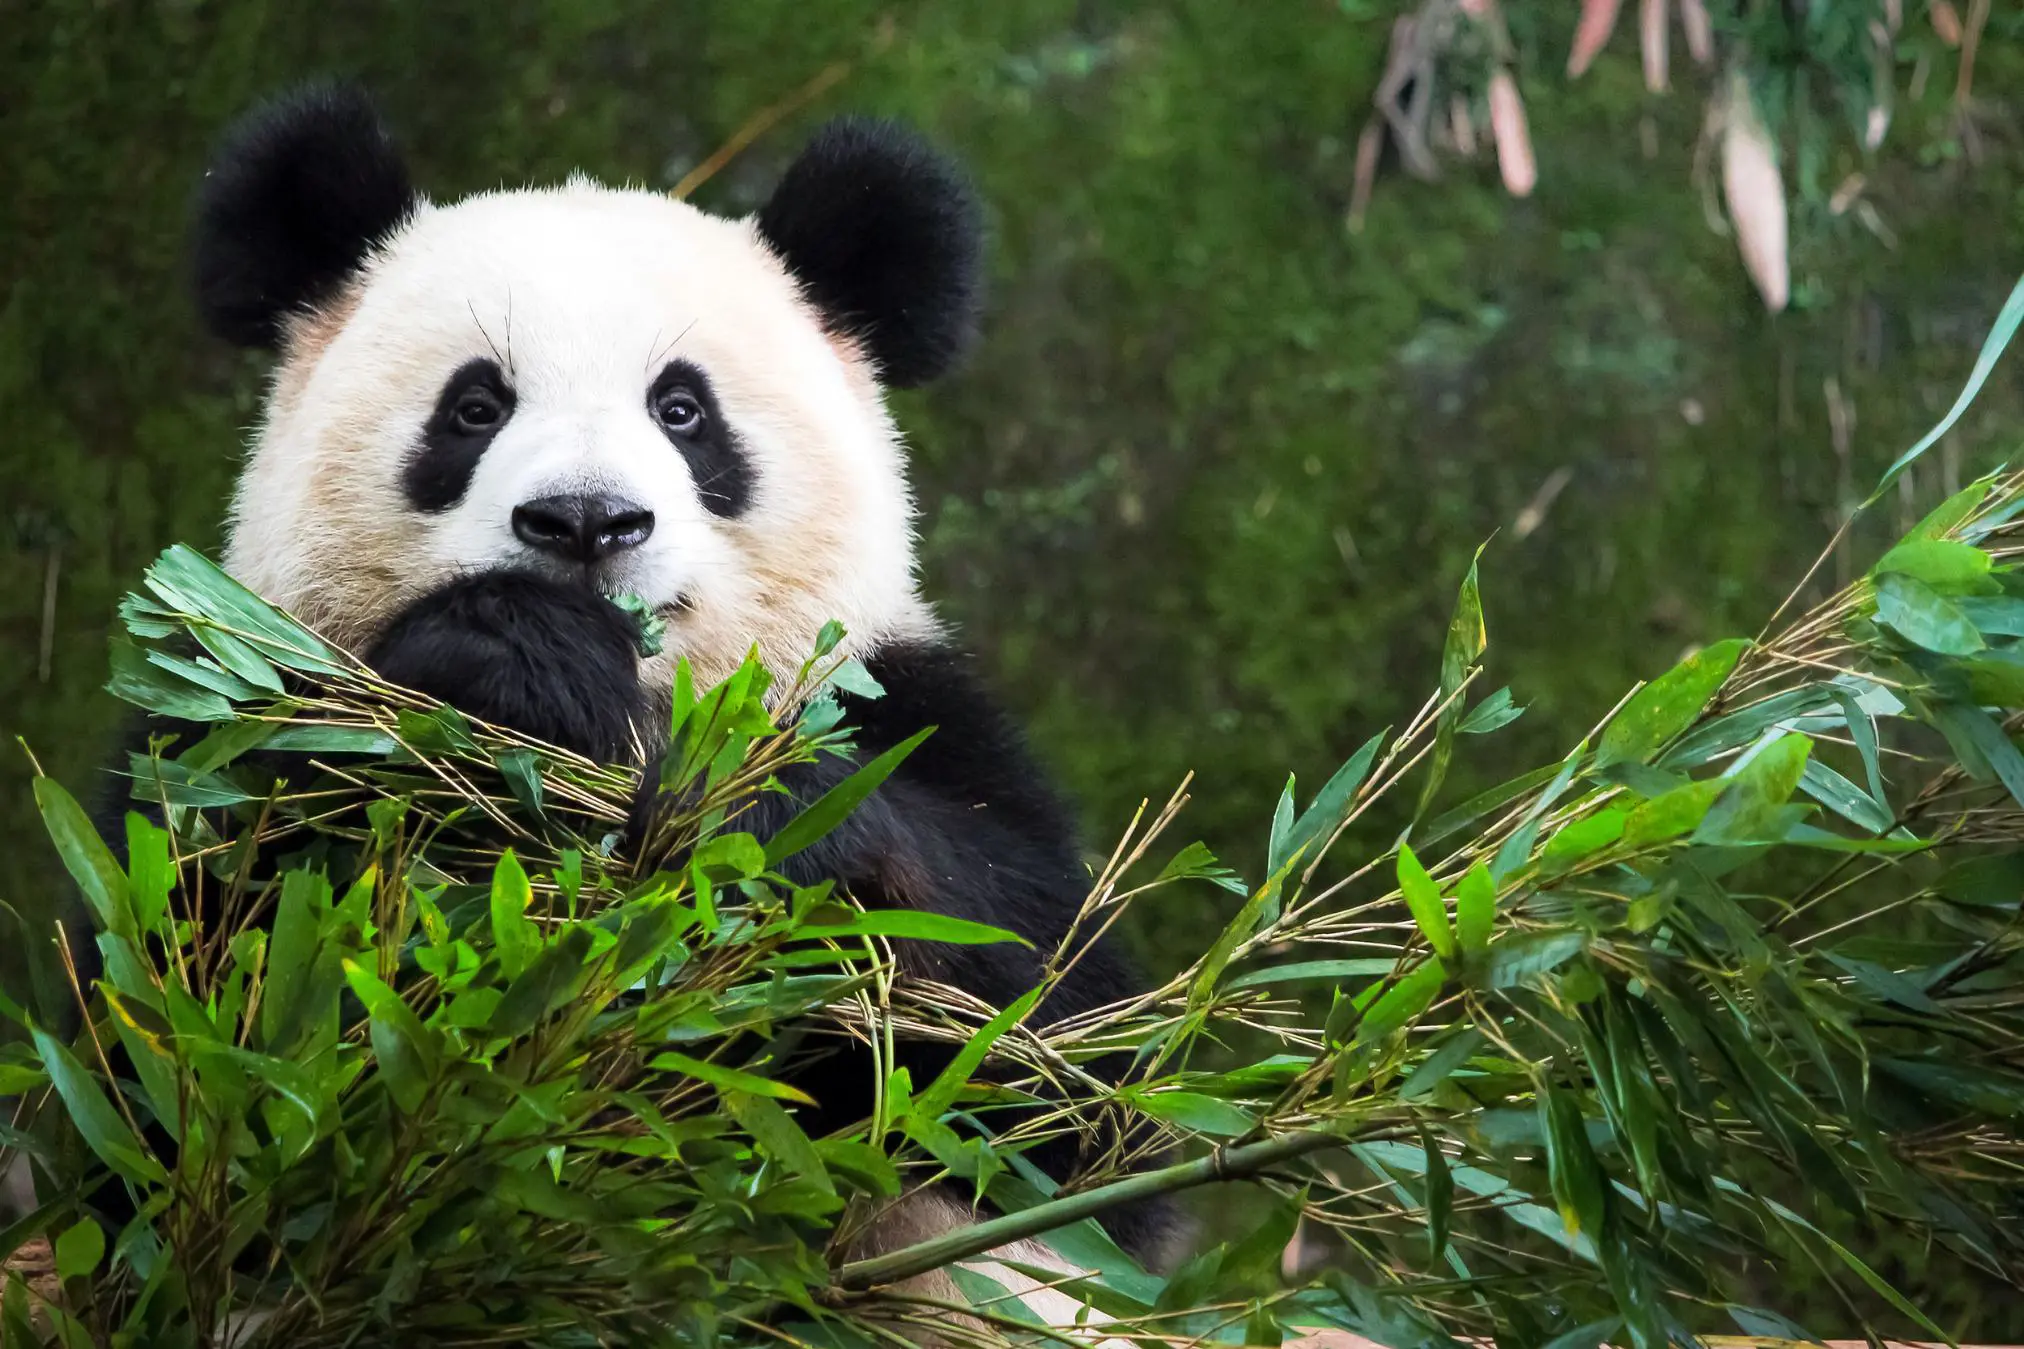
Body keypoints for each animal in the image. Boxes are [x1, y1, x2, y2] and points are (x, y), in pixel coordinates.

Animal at [125, 82, 1181, 1327]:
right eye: (474, 406)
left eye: (682, 410)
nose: (586, 520)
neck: (635, 703)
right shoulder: (233, 705)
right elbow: (212, 1019)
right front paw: (511, 657)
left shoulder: (907, 708)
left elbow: (1065, 1081)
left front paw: (740, 819)